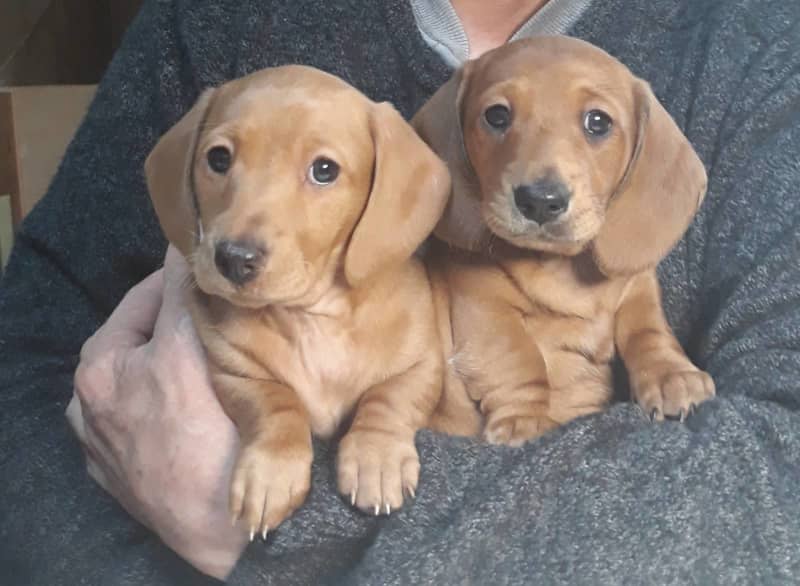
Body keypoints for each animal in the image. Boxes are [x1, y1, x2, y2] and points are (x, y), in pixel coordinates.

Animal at [145, 66, 450, 536]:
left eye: (324, 170)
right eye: (218, 159)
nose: (234, 259)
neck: (313, 318)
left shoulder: (423, 363)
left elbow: (389, 398)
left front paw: (376, 454)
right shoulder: (236, 371)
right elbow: (277, 405)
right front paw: (271, 471)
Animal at [416, 36, 716, 444]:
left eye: (598, 121)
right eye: (497, 116)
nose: (540, 201)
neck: (564, 269)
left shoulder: (638, 285)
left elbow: (647, 329)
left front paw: (673, 374)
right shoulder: (483, 304)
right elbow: (519, 357)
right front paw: (524, 418)